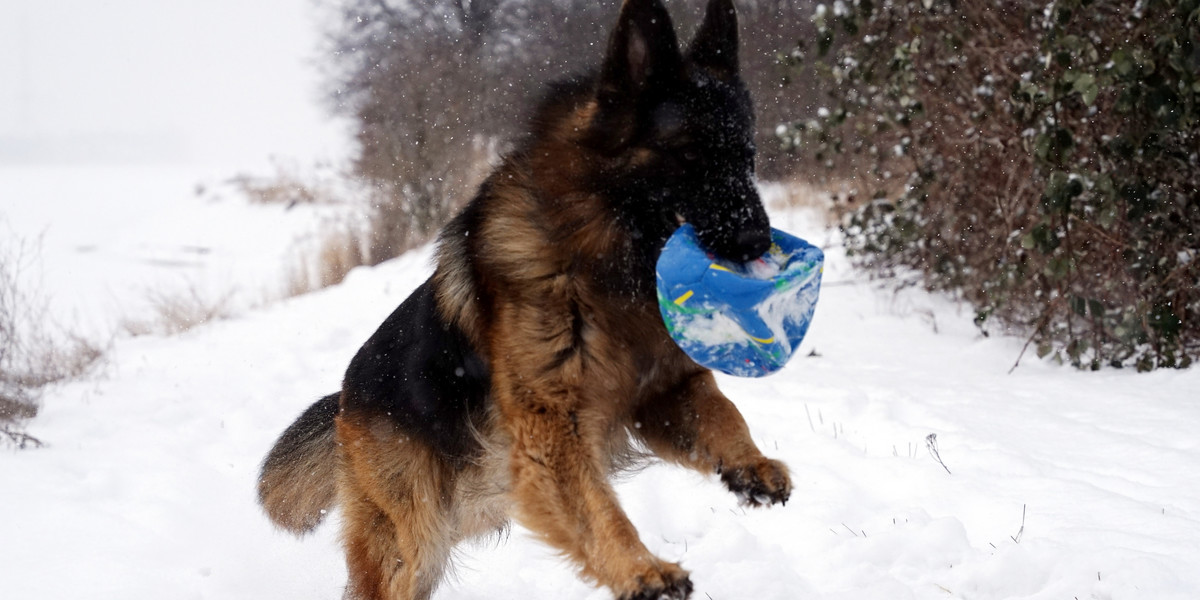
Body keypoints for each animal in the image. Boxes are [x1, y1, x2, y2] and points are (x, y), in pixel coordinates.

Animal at [258, 2, 792, 597]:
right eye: (690, 156)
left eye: (746, 157)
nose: (758, 242)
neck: (600, 256)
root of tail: (344, 397)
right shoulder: (551, 429)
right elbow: (597, 510)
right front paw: (640, 569)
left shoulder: (664, 391)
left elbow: (723, 414)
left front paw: (752, 463)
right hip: (414, 540)